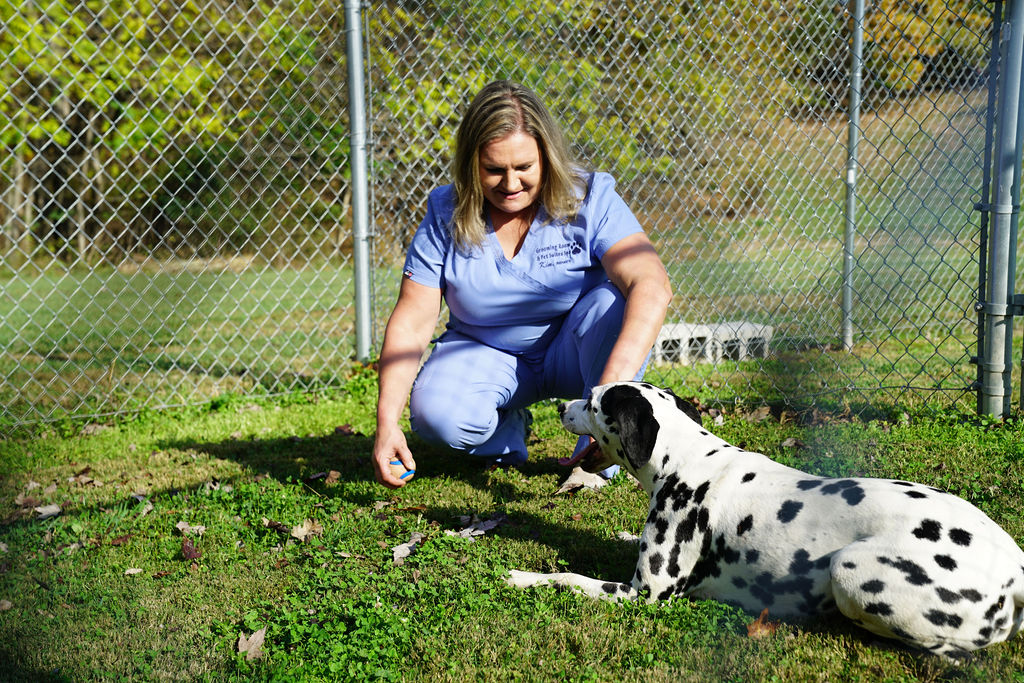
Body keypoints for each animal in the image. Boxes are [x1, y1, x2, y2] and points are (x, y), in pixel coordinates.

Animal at [507, 382, 1024, 659]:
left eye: (591, 400)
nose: (559, 407)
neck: (687, 460)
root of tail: (1013, 567)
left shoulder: (643, 595)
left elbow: (567, 577)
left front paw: (522, 576)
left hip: (850, 570)